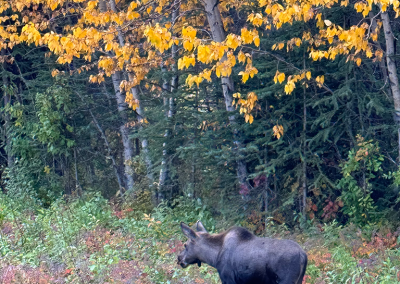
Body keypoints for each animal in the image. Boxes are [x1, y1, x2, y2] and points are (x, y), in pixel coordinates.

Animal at [177, 222, 306, 284]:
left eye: (185, 245)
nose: (179, 258)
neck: (214, 257)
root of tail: (303, 255)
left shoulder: (228, 278)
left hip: (286, 280)